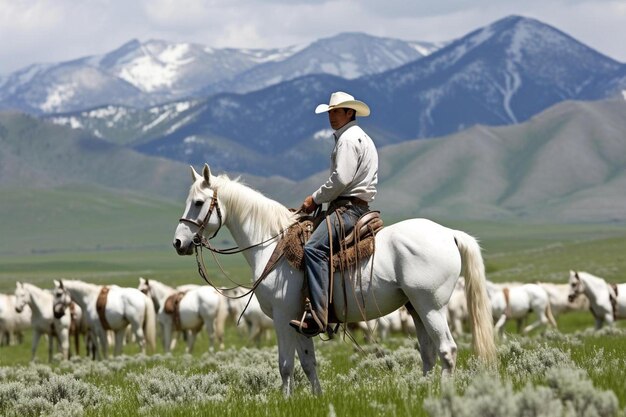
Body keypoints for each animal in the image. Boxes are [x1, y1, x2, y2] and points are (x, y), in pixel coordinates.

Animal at [169, 163, 492, 394]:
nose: (178, 243)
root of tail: (449, 233)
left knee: (447, 350)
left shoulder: (282, 315)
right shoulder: (301, 319)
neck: (271, 244)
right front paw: (316, 398)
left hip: (431, 306)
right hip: (414, 307)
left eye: (198, 202)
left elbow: (285, 365)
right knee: (428, 353)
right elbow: (308, 363)